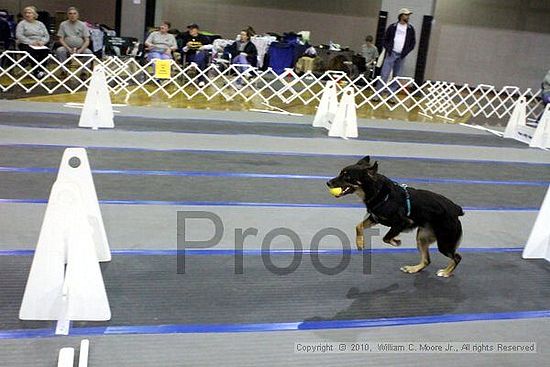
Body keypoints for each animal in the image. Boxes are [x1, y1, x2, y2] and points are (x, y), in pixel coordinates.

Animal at [328, 156, 466, 278]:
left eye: (347, 176)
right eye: (341, 173)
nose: (328, 182)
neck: (379, 192)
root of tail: (456, 209)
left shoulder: (403, 222)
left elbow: (386, 237)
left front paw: (395, 241)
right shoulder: (375, 218)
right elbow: (358, 226)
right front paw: (360, 243)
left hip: (444, 242)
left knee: (457, 257)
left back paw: (446, 272)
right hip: (422, 238)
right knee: (427, 260)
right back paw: (413, 269)